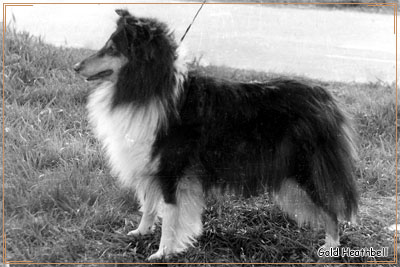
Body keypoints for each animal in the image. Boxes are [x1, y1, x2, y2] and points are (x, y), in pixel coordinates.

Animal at [74, 9, 360, 260]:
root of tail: (325, 97)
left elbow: (169, 214)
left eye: (112, 48)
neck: (151, 89)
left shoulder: (172, 169)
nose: (76, 67)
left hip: (306, 169)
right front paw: (141, 232)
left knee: (332, 212)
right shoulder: (149, 164)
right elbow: (149, 204)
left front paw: (162, 253)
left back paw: (330, 248)